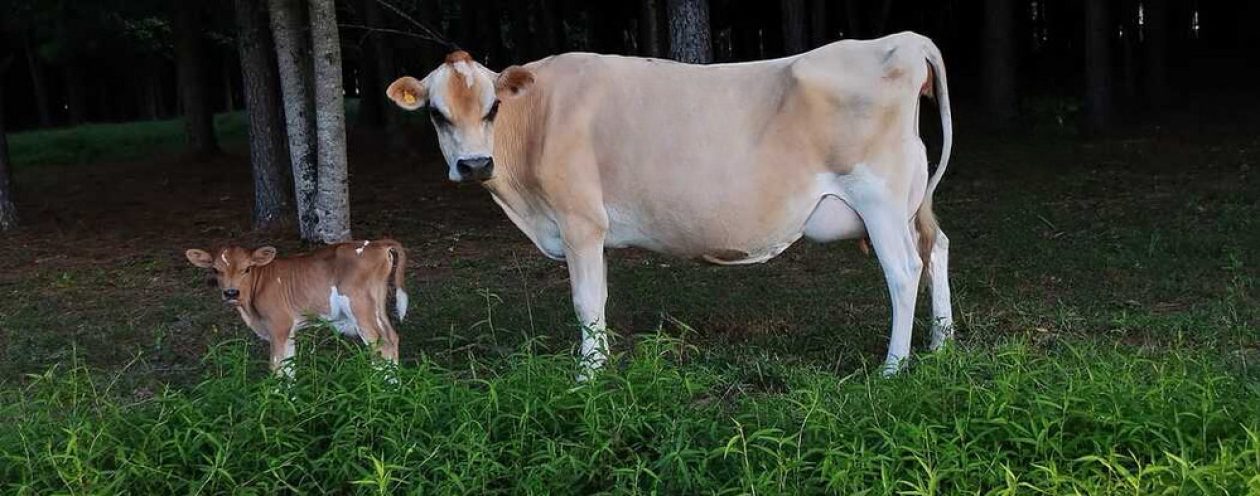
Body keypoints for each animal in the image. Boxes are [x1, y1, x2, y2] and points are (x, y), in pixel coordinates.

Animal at [185, 240, 409, 375]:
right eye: (216, 270)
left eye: (247, 268)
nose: (231, 293)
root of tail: (378, 243)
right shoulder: (289, 331)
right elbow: (289, 369)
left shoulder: (279, 326)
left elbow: (276, 370)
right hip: (377, 305)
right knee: (392, 338)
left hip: (360, 308)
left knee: (380, 345)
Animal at [386, 31, 954, 376]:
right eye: (436, 113)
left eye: (493, 108)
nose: (475, 164)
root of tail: (901, 41)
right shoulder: (596, 233)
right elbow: (599, 301)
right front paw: (601, 363)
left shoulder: (578, 220)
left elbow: (584, 302)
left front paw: (586, 376)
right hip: (910, 203)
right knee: (936, 249)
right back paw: (940, 345)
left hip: (880, 198)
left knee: (904, 269)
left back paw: (893, 367)